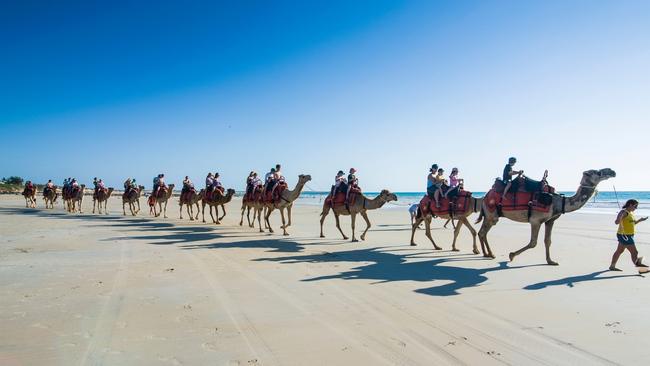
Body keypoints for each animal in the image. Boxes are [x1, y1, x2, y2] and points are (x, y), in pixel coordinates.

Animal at [474, 167, 616, 264]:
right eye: (597, 172)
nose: (612, 171)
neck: (558, 201)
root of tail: (485, 196)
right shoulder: (535, 220)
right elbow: (533, 243)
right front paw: (511, 255)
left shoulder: (550, 220)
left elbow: (548, 241)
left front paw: (550, 261)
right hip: (491, 214)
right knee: (483, 232)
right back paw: (490, 254)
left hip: (489, 216)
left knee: (482, 232)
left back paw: (487, 254)